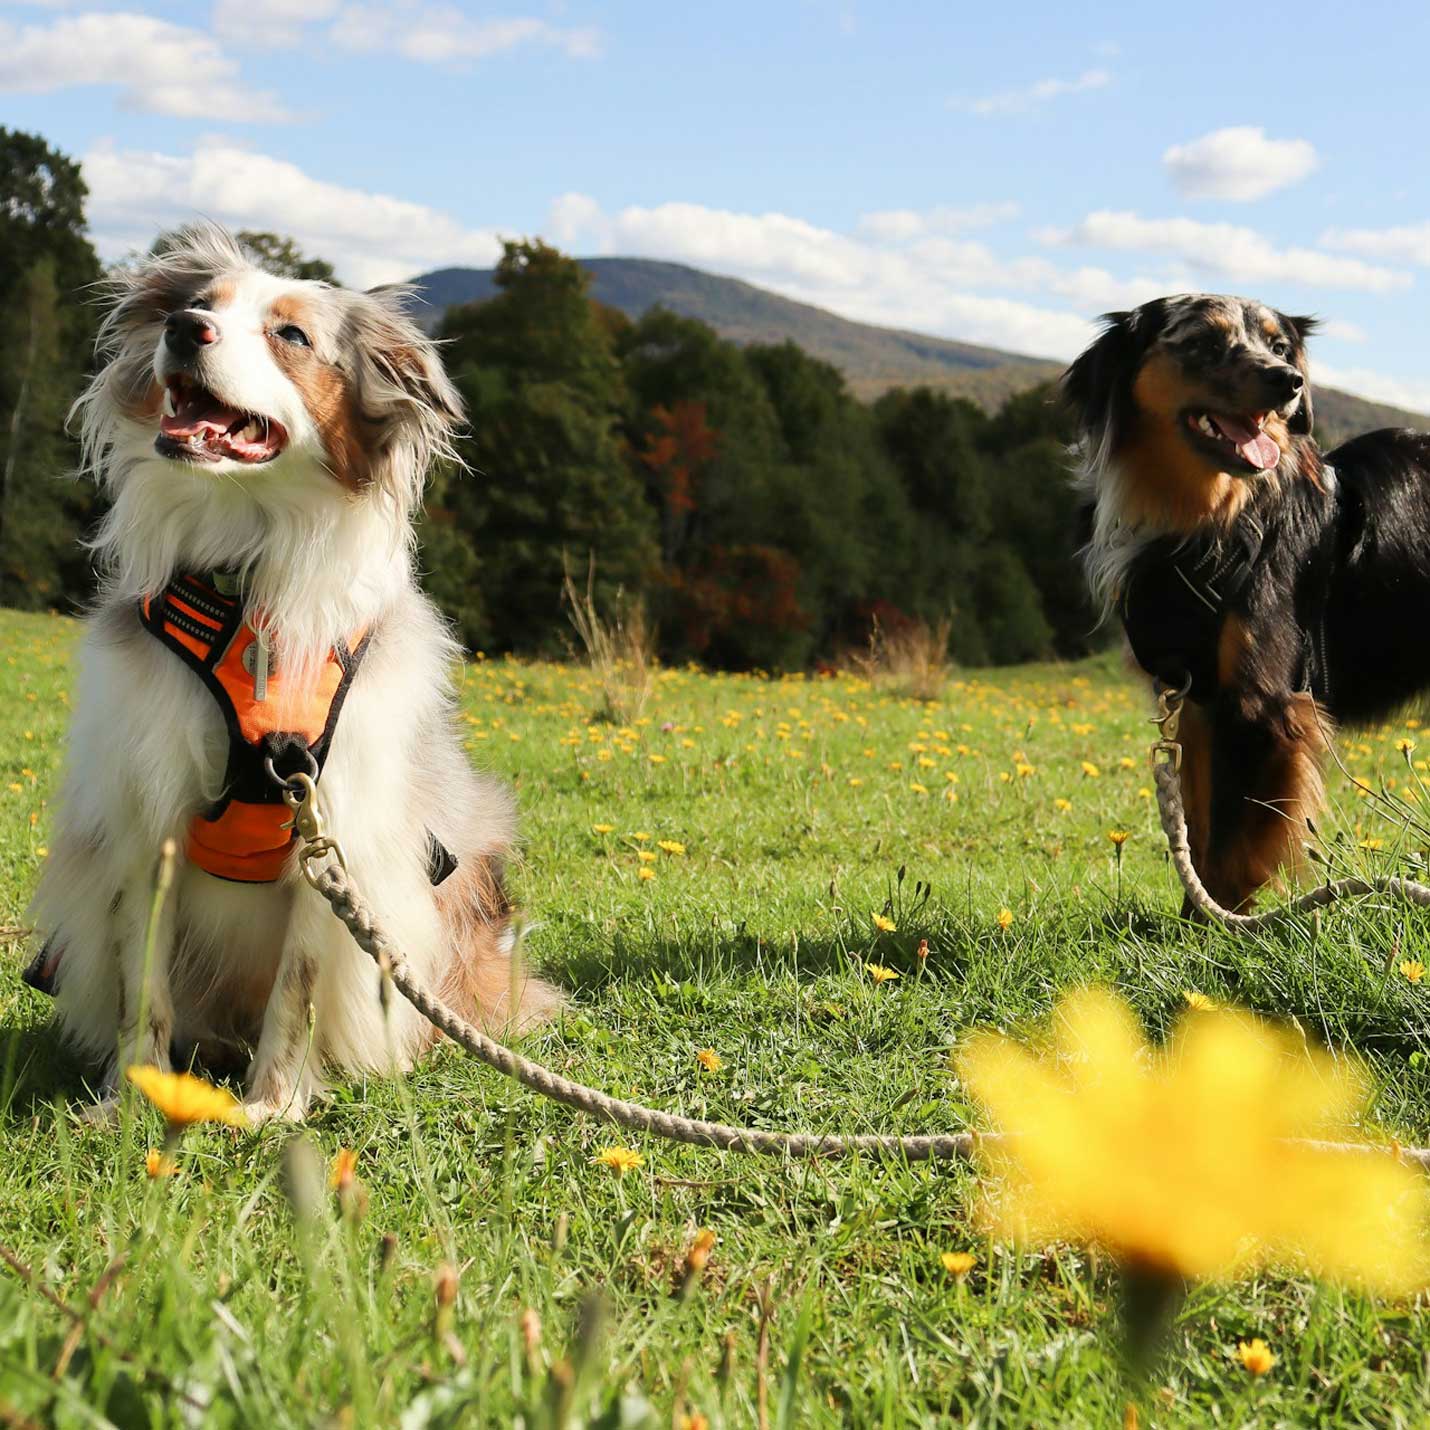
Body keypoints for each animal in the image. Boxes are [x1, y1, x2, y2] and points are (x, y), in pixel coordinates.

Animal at [29, 223, 557, 1121]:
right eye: (192, 305)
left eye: (292, 335)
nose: (184, 331)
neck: (247, 583)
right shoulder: (145, 814)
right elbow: (144, 980)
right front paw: (136, 1100)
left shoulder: (333, 826)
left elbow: (298, 988)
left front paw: (270, 1108)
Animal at [1069, 296, 1430, 909]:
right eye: (1204, 343)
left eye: (1280, 347)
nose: (1290, 380)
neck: (1209, 518)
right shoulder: (1196, 701)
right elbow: (1198, 830)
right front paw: (1197, 918)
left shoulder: (1262, 705)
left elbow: (1231, 851)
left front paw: (1221, 929)